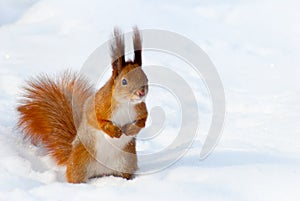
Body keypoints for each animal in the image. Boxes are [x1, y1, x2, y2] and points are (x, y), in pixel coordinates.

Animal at [16, 27, 148, 184]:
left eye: (145, 77)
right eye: (124, 81)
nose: (141, 92)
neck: (125, 103)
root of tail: (101, 171)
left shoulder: (140, 109)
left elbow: (143, 121)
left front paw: (131, 129)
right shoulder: (98, 105)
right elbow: (97, 121)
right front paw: (113, 131)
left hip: (126, 161)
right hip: (80, 161)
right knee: (74, 176)